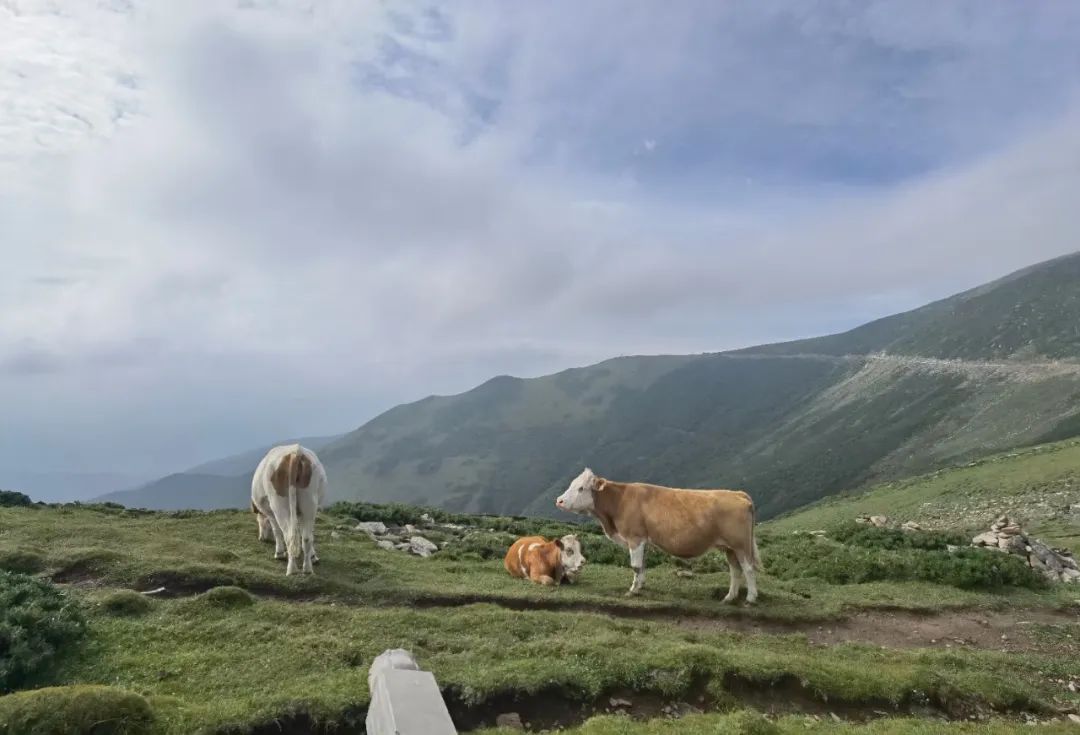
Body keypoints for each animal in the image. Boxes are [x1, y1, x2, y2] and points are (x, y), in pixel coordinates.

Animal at [250, 442, 326, 574]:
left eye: (258, 518)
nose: (261, 538)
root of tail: (295, 453)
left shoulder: (270, 513)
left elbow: (276, 530)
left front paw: (279, 553)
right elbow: (303, 532)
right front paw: (313, 556)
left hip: (279, 505)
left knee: (288, 535)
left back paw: (292, 569)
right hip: (309, 502)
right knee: (307, 537)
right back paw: (307, 569)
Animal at [557, 470, 760, 600]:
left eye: (581, 488)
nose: (559, 500)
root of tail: (739, 494)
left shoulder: (635, 537)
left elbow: (635, 566)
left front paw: (632, 591)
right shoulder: (643, 540)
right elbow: (642, 565)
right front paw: (641, 586)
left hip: (741, 545)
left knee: (748, 569)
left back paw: (750, 598)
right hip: (730, 548)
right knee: (735, 570)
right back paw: (730, 597)